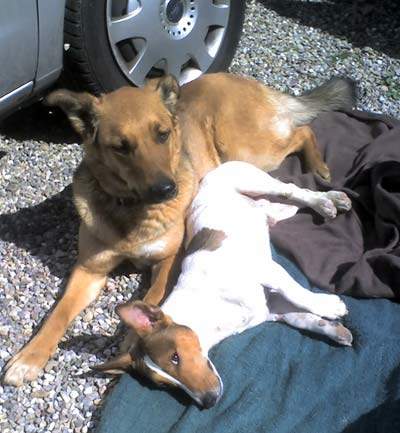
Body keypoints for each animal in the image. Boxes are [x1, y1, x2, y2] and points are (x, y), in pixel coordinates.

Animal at [96, 161, 353, 409]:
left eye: (175, 357)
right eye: (165, 385)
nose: (208, 402)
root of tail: (213, 170)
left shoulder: (264, 269)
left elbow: (297, 293)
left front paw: (329, 306)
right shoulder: (272, 307)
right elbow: (304, 319)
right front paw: (336, 330)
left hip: (254, 181)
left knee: (292, 190)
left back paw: (325, 202)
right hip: (268, 207)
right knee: (286, 204)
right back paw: (326, 203)